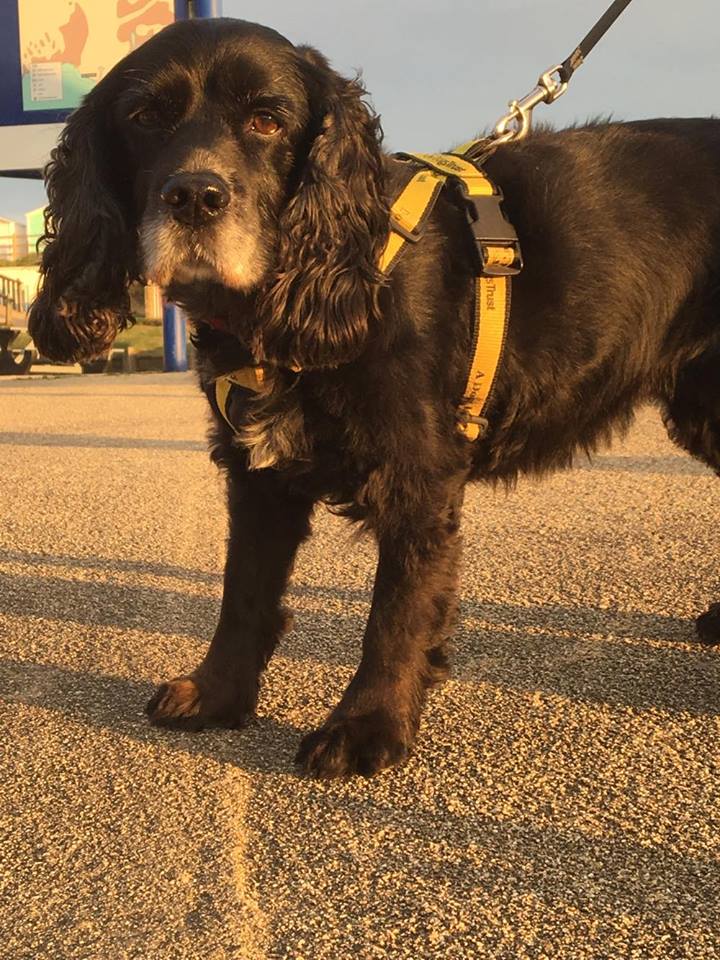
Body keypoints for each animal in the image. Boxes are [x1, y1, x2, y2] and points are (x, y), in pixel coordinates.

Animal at [31, 16, 720, 780]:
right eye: (145, 118)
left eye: (268, 119)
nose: (196, 197)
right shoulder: (257, 473)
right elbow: (243, 592)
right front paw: (216, 694)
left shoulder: (417, 476)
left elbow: (394, 611)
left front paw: (366, 725)